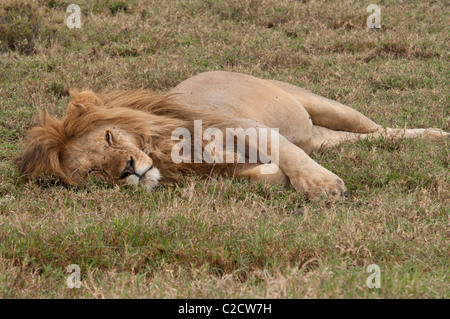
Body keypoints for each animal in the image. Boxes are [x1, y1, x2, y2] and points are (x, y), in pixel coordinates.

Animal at [15, 71, 448, 199]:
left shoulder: (247, 126)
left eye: (108, 138)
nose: (127, 170)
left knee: (381, 129)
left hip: (325, 106)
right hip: (322, 136)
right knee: (360, 140)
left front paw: (321, 185)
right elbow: (265, 173)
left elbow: (287, 155)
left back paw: (436, 135)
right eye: (93, 174)